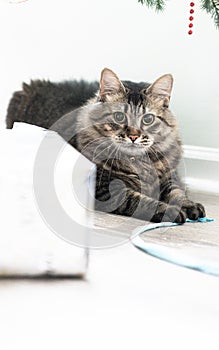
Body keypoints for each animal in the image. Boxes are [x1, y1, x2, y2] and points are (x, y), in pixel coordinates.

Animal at [6, 67, 205, 223]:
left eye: (147, 119)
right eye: (119, 117)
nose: (133, 136)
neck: (139, 162)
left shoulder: (170, 176)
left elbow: (177, 192)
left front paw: (191, 206)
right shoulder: (106, 189)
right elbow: (140, 201)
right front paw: (170, 211)